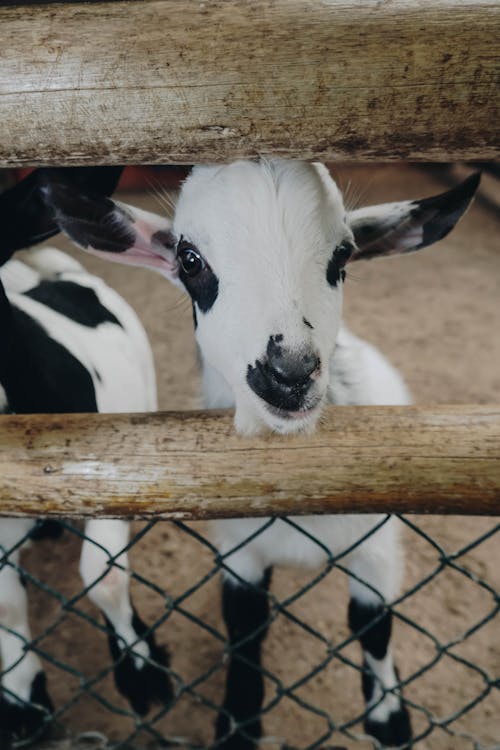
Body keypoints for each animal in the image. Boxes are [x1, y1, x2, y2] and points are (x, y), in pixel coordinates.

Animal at [45, 162, 478, 748]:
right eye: (189, 260)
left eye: (343, 255)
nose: (289, 374)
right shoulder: (240, 552)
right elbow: (245, 630)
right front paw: (237, 721)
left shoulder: (377, 547)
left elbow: (374, 626)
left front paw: (390, 717)